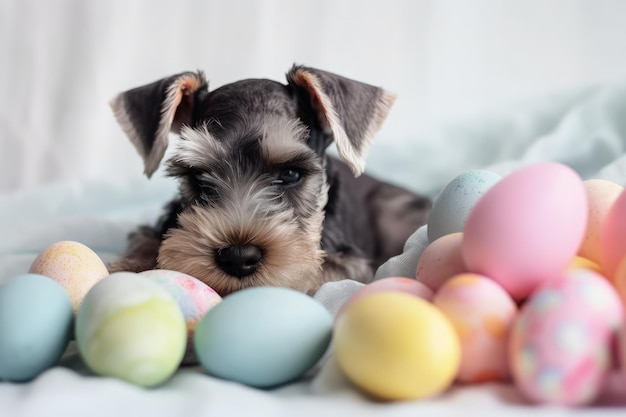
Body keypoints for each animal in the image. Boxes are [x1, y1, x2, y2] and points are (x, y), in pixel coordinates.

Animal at [108, 64, 428, 296]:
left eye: (291, 174)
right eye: (198, 175)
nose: (238, 258)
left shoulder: (349, 264)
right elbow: (147, 241)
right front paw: (126, 267)